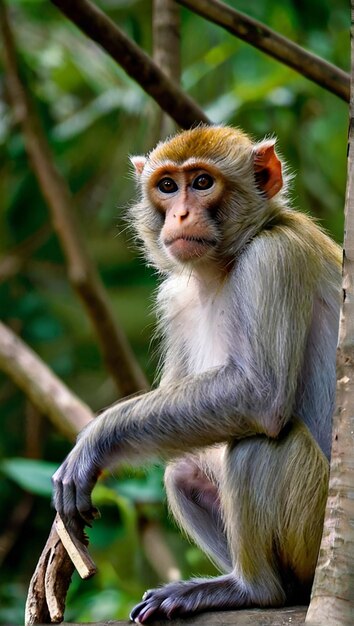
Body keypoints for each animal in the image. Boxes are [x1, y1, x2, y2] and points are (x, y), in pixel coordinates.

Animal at [51, 125, 342, 620]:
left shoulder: (273, 259)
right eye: (168, 186)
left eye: (202, 182)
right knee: (183, 469)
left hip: (318, 531)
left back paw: (253, 590)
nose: (181, 213)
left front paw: (94, 442)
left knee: (261, 443)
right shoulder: (175, 299)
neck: (225, 266)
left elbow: (259, 395)